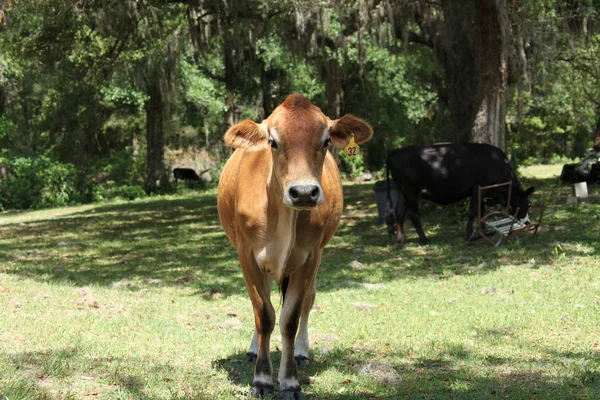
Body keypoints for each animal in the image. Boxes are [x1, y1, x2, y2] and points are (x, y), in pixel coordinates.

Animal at [218, 93, 372, 396]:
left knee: (308, 301)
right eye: (272, 141)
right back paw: (254, 349)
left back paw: (301, 352)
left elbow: (290, 317)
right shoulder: (247, 256)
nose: (303, 192)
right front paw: (262, 379)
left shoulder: (309, 257)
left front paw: (289, 381)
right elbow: (263, 314)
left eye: (326, 140)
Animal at [386, 144, 536, 244]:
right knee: (413, 214)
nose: (528, 222)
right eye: (528, 203)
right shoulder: (478, 189)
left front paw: (484, 231)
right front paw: (469, 235)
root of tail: (397, 151)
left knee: (399, 212)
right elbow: (473, 212)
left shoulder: (483, 193)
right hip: (410, 191)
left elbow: (482, 211)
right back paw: (424, 239)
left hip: (401, 192)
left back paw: (400, 239)